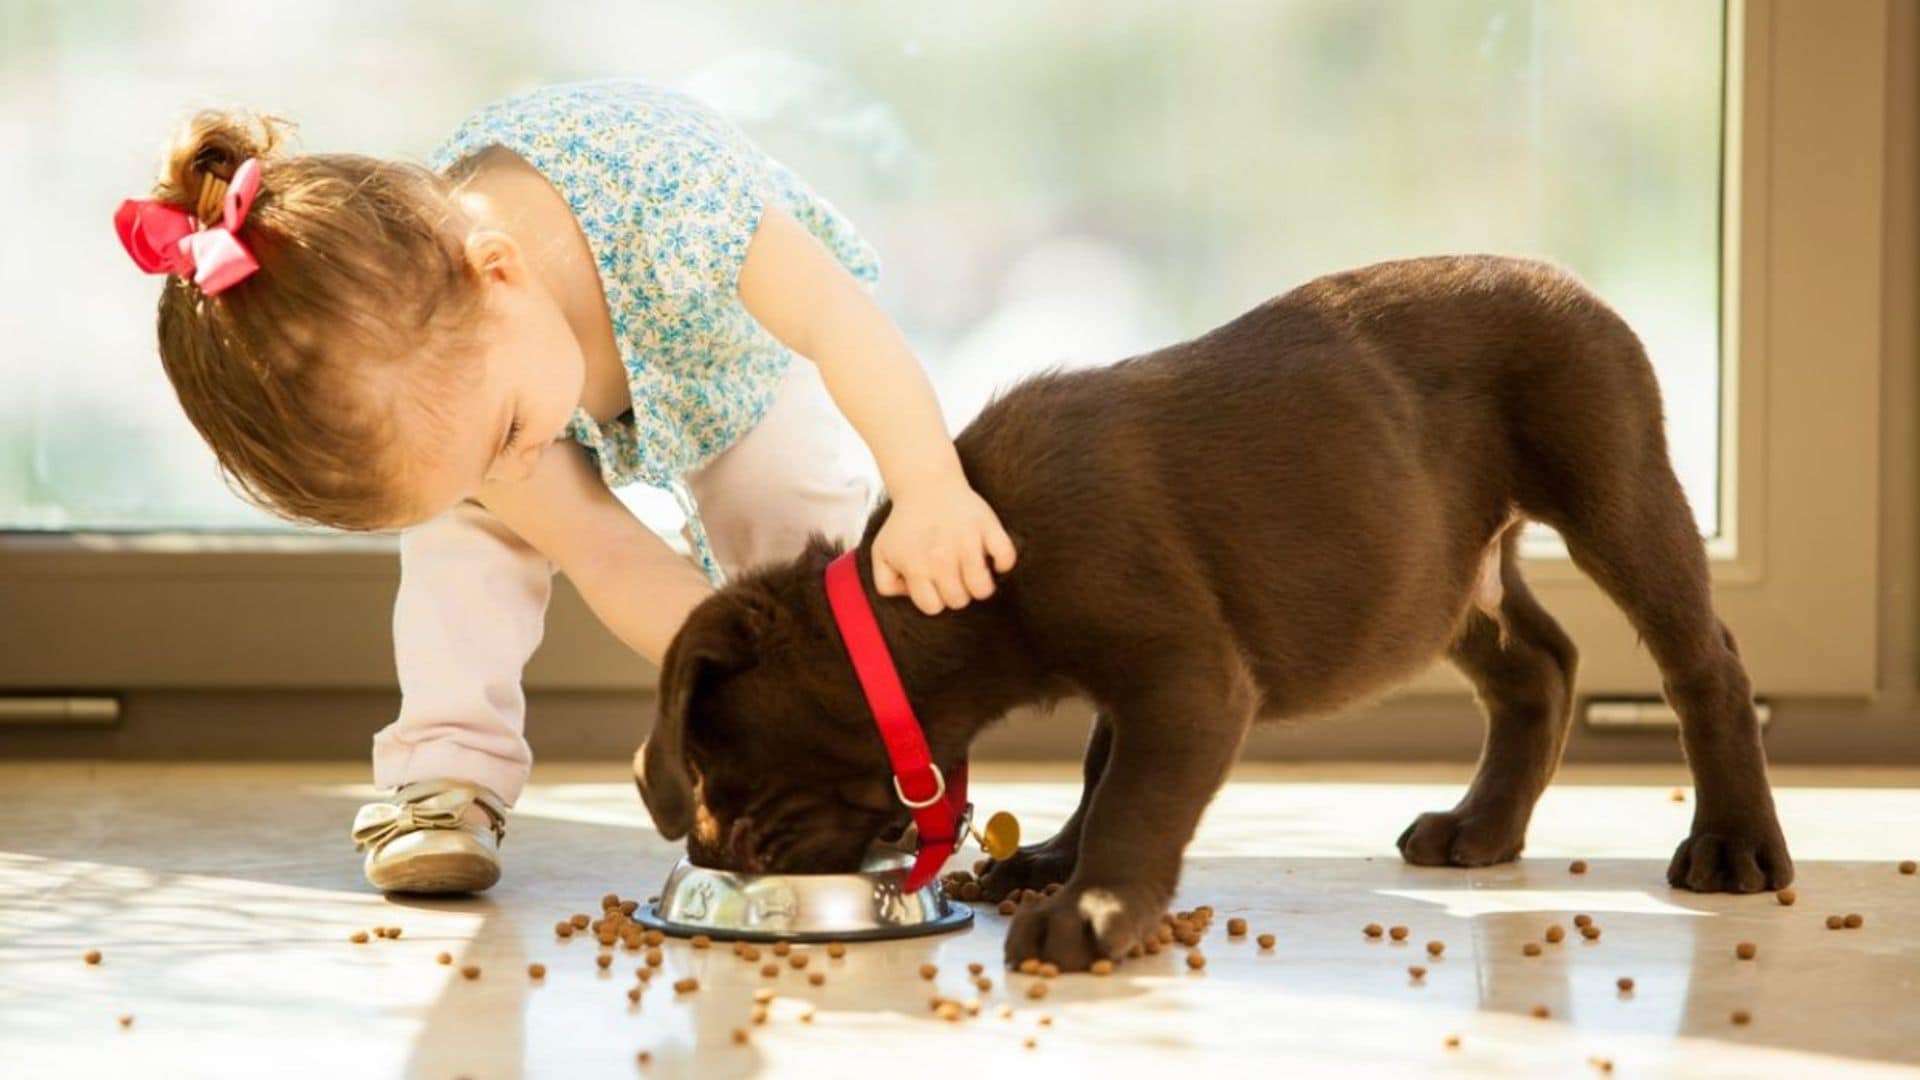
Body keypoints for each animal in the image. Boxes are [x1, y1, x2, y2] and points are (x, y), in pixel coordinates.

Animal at [637, 253, 1789, 968]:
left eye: (716, 770)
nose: (713, 852)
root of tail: (1569, 280)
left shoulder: (1184, 676)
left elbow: (1137, 797)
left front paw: (1089, 910)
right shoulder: (1143, 680)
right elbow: (1102, 769)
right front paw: (1054, 863)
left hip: (1614, 487)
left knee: (1705, 662)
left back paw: (1733, 845)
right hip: (1439, 573)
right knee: (1538, 665)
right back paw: (1483, 827)